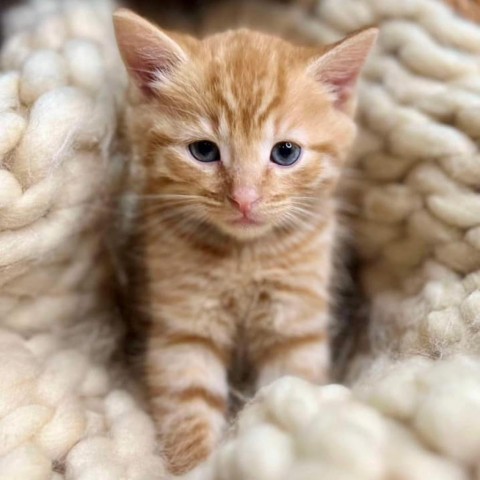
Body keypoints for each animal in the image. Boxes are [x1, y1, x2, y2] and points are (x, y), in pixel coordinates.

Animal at [113, 9, 376, 474]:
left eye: (286, 152)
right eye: (203, 151)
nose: (244, 198)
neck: (244, 256)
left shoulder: (295, 326)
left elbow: (287, 389)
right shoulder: (184, 327)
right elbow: (188, 401)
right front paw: (196, 465)